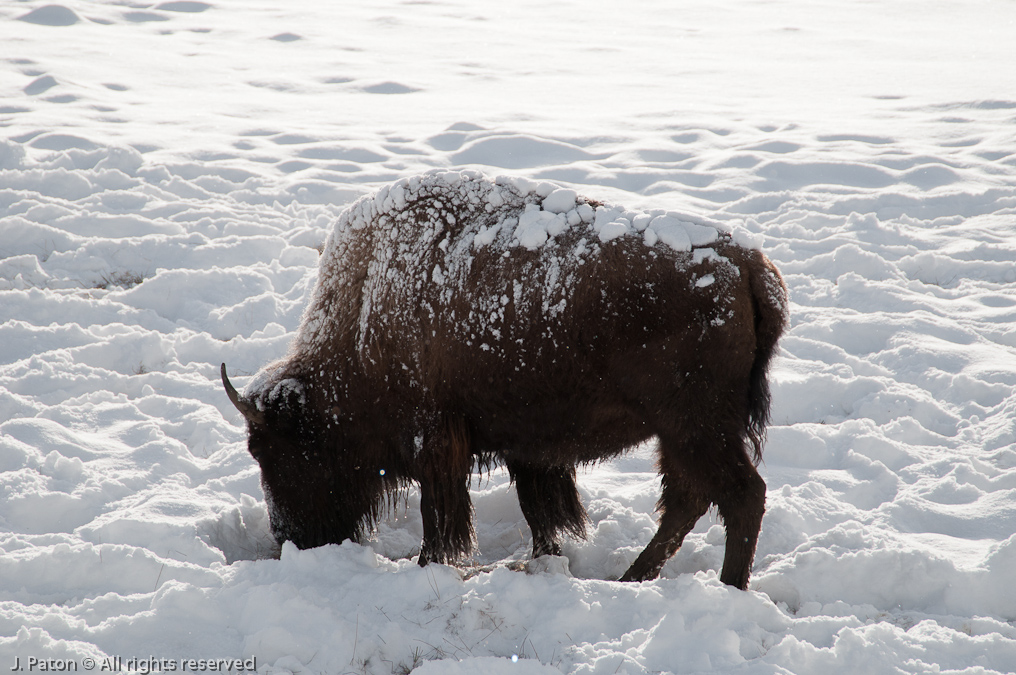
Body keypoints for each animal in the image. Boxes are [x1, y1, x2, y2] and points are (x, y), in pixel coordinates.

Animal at [222, 170, 787, 589]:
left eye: (272, 451)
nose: (287, 538)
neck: (365, 310)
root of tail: (750, 265)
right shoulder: (525, 448)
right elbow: (538, 510)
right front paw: (543, 557)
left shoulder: (436, 441)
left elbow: (441, 518)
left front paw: (431, 565)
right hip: (681, 433)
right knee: (687, 500)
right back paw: (633, 577)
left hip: (696, 426)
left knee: (740, 495)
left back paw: (726, 586)